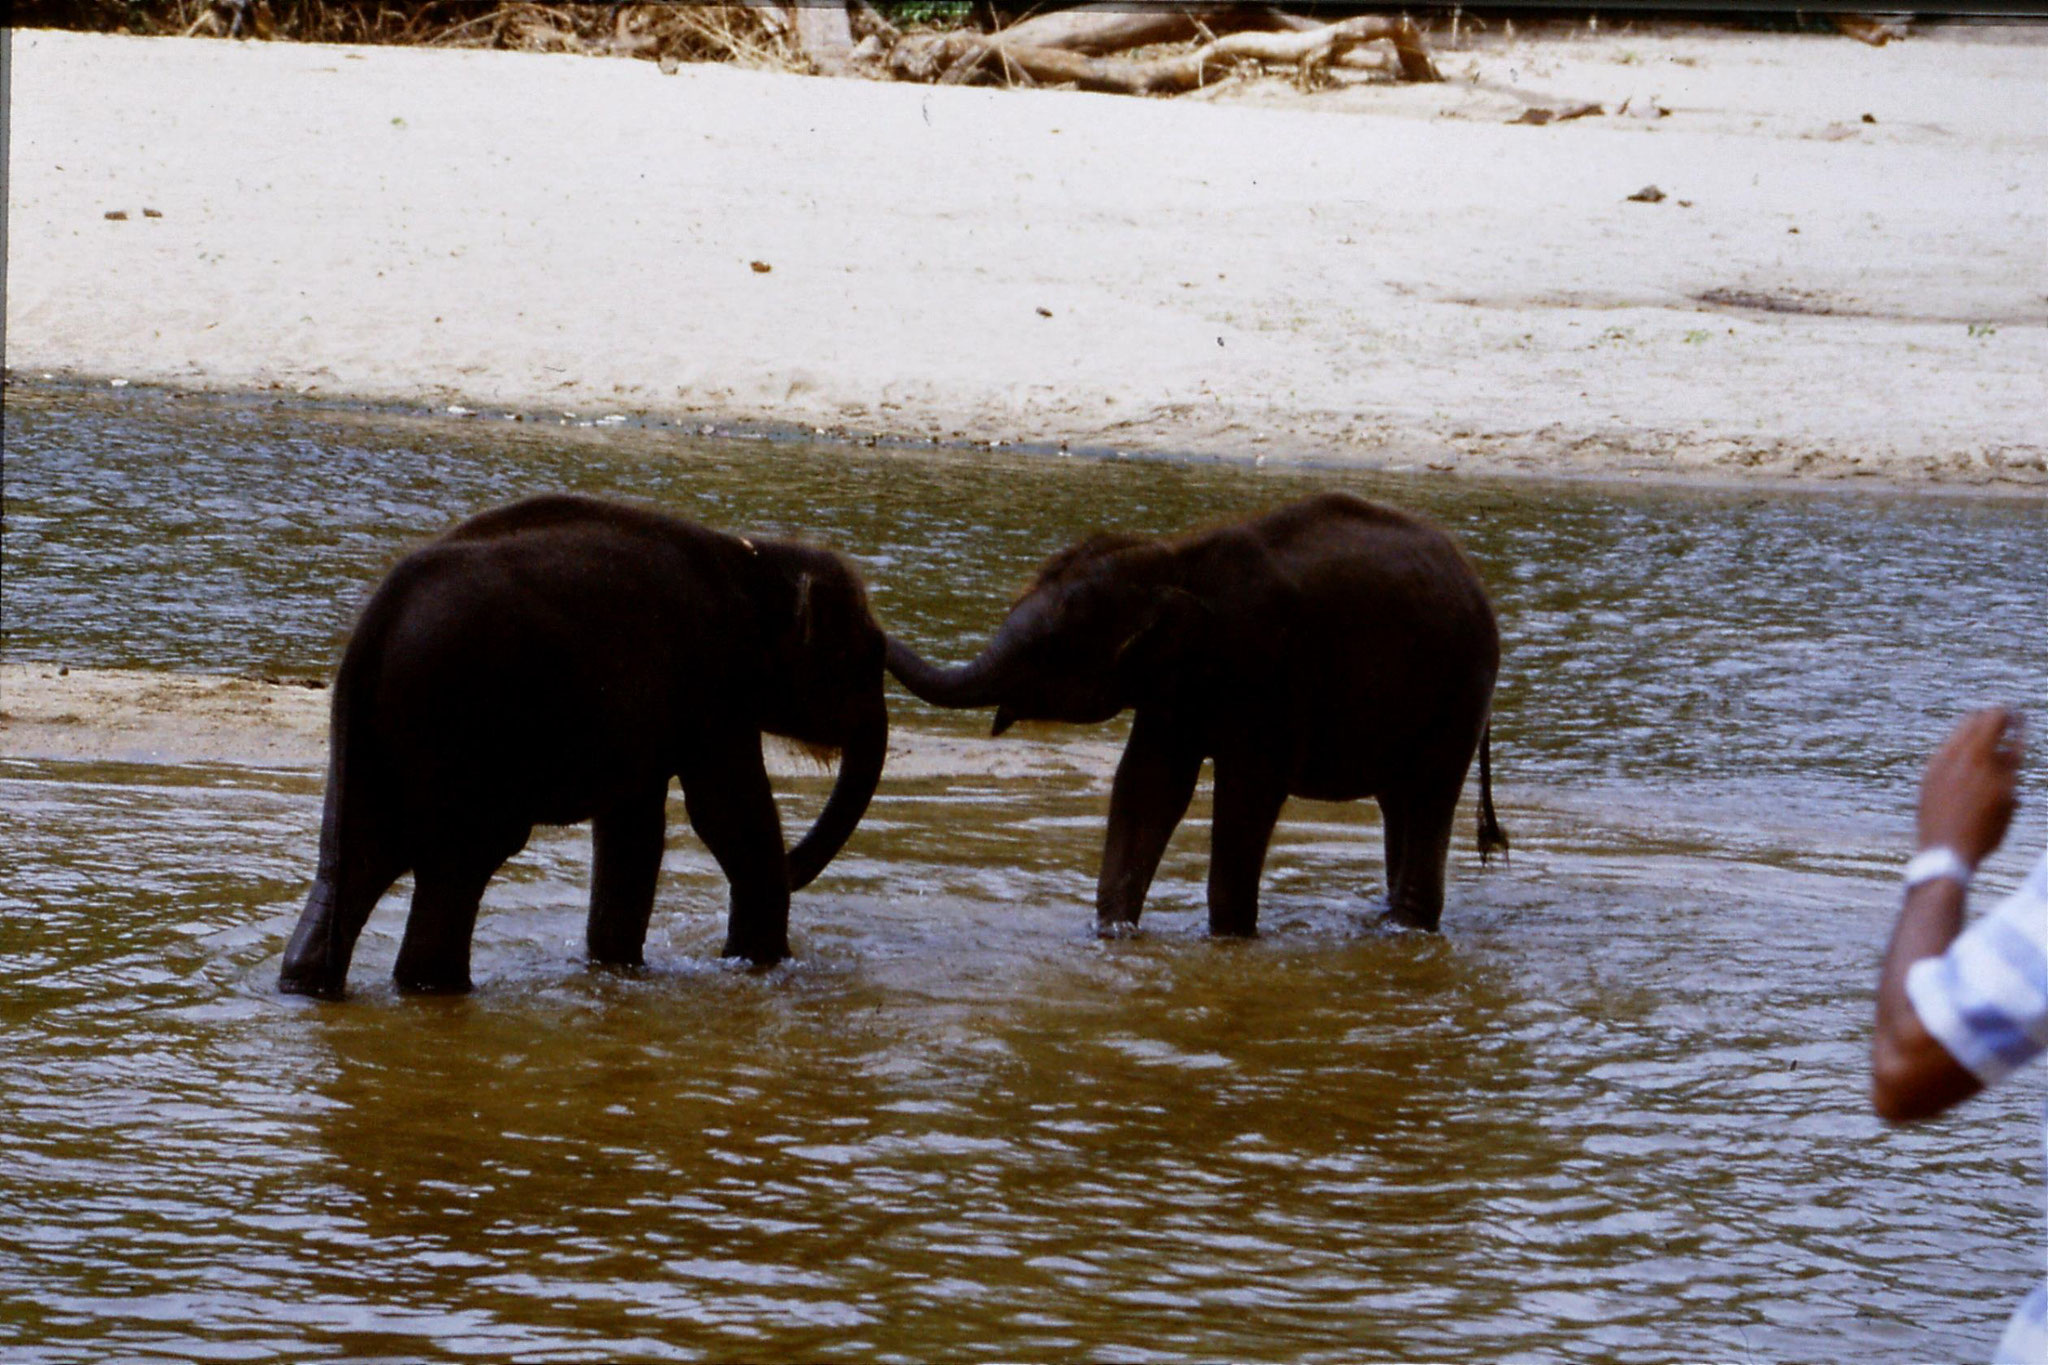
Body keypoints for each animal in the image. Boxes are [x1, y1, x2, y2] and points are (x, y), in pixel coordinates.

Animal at [276, 497, 884, 998]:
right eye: (853, 658)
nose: (795, 866)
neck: (752, 554)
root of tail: (374, 626)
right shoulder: (715, 679)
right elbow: (727, 811)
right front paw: (762, 967)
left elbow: (633, 830)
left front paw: (619, 969)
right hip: (460, 732)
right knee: (459, 865)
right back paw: (439, 990)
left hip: (375, 738)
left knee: (354, 863)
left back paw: (312, 987)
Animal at [884, 491, 1507, 941]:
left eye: (1048, 650)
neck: (1173, 560)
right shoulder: (1170, 691)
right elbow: (1147, 786)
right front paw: (1114, 934)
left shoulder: (1265, 670)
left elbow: (1246, 795)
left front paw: (1229, 940)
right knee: (1400, 803)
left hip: (1462, 687)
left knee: (1427, 795)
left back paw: (1407, 930)